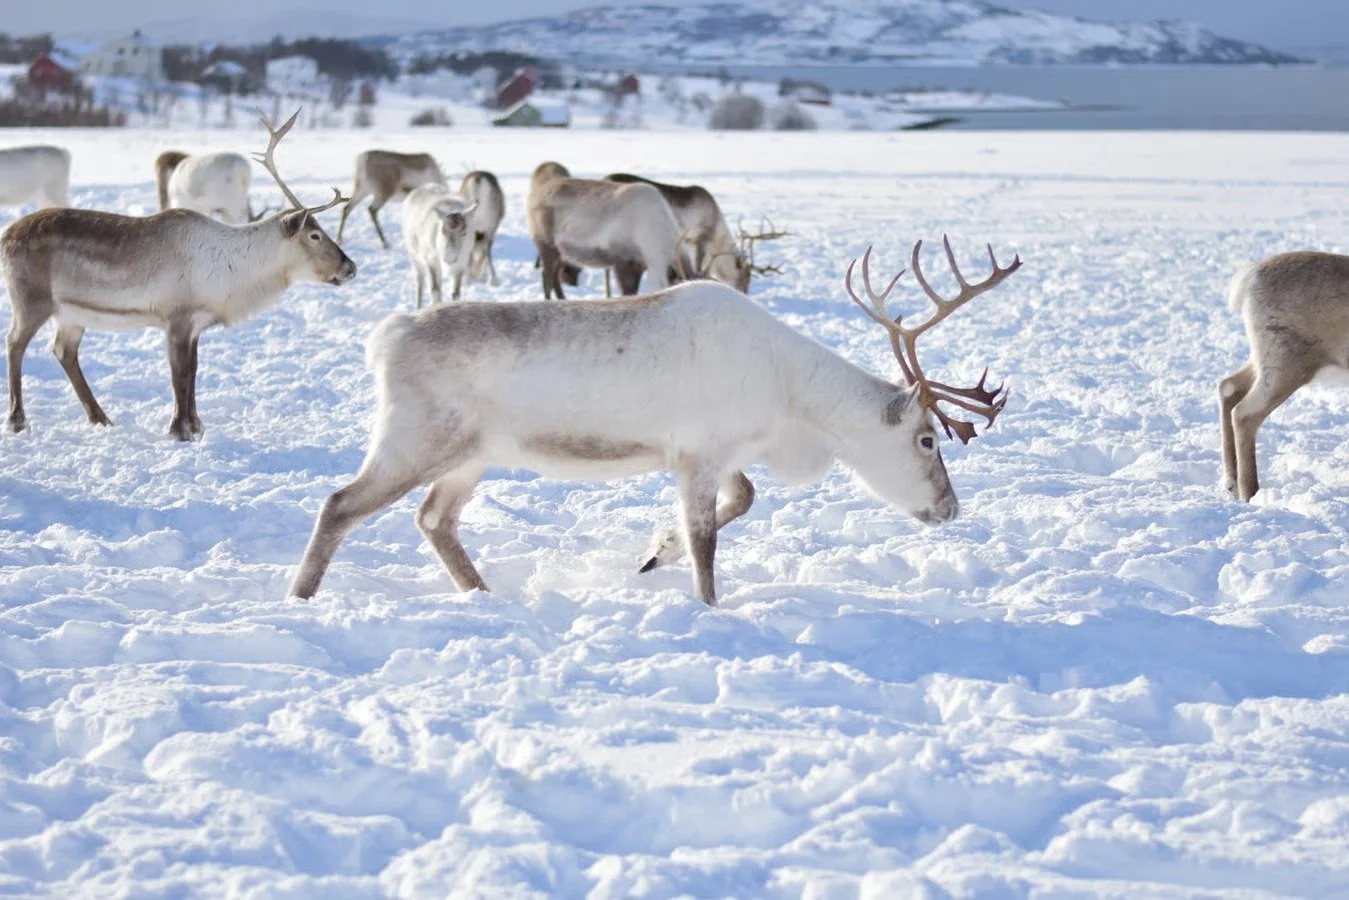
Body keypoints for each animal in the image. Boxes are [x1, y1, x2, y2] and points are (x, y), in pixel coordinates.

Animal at [1, 111, 356, 441]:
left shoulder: (197, 323)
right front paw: (179, 428)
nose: (350, 267)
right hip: (31, 299)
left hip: (71, 313)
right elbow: (180, 375)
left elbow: (193, 372)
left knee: (63, 351)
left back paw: (100, 417)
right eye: (314, 235)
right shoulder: (177, 318)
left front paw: (196, 426)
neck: (234, 275)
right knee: (15, 343)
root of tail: (6, 236)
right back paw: (18, 419)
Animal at [289, 236, 1019, 606]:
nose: (950, 508)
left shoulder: (720, 456)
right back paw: (300, 598)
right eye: (927, 439)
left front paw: (652, 552)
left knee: (434, 520)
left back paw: (485, 594)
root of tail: (386, 336)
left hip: (473, 455)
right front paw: (704, 600)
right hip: (417, 439)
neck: (793, 405)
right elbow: (707, 541)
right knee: (339, 504)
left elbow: (743, 500)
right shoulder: (700, 453)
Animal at [528, 161, 685, 300]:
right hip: (546, 244)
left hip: (561, 252)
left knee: (554, 276)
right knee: (546, 276)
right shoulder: (624, 261)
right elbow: (627, 294)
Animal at [1218, 252, 1349, 501]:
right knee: (1244, 413)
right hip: (1285, 364)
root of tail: (1250, 277)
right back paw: (1250, 493)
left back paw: (1231, 483)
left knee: (1228, 386)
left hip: (1263, 359)